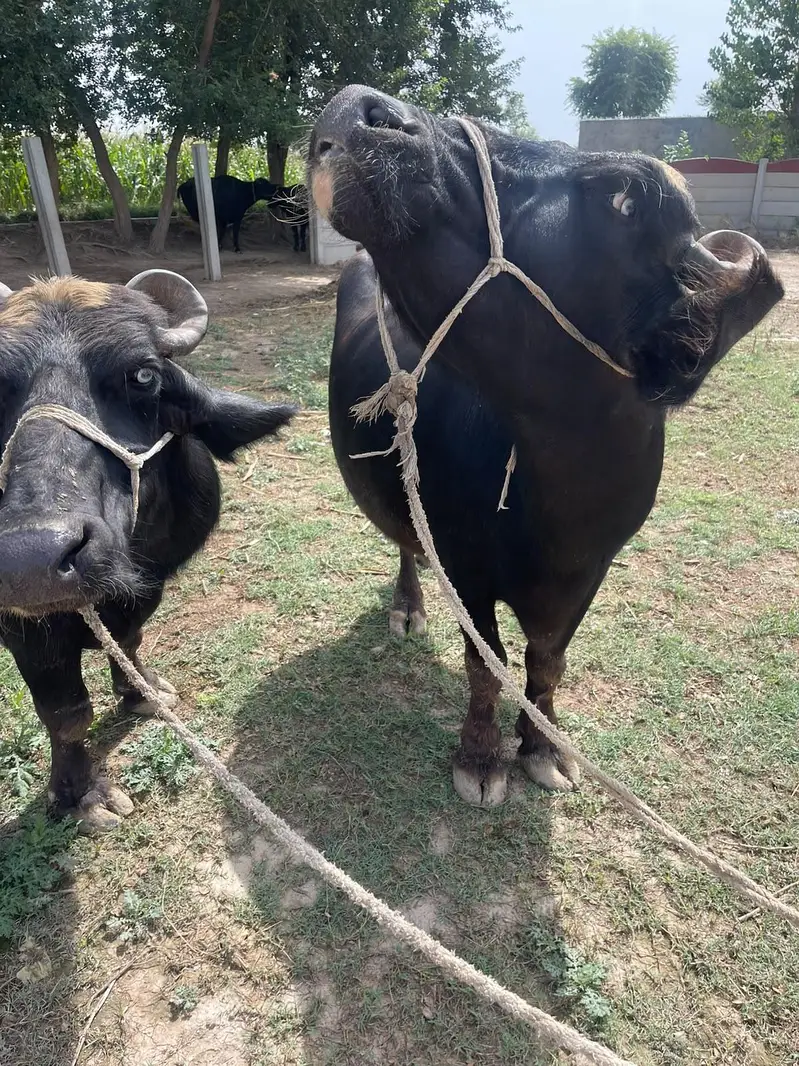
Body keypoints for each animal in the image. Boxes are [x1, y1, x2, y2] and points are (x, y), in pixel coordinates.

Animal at [0, 271, 294, 831]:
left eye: (142, 375)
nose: (34, 557)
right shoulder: (22, 628)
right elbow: (66, 713)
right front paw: (80, 794)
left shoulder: (150, 584)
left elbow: (130, 642)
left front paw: (142, 693)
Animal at [310, 86, 783, 806]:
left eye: (621, 197)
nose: (361, 106)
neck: (557, 500)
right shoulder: (463, 565)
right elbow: (487, 663)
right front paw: (480, 757)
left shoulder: (590, 571)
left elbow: (548, 659)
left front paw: (542, 746)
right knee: (404, 542)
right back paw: (408, 607)